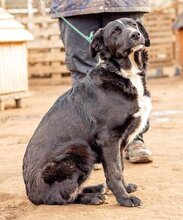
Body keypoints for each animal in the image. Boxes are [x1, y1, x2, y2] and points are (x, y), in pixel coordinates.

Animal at [22, 18, 152, 207]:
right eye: (115, 31)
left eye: (133, 25)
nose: (136, 35)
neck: (124, 73)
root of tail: (31, 193)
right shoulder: (109, 138)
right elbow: (114, 172)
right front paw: (124, 199)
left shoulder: (119, 142)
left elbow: (120, 167)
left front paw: (126, 189)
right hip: (79, 152)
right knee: (62, 197)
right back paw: (93, 196)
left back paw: (97, 188)